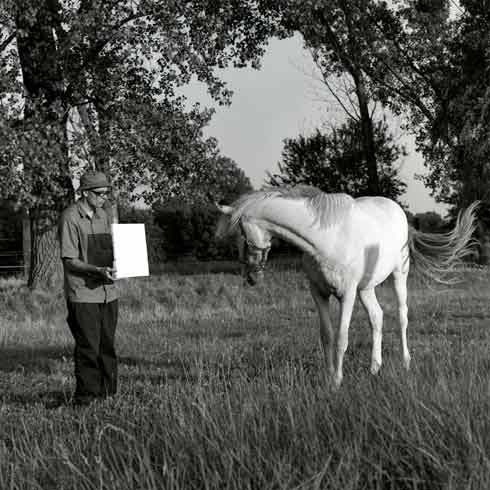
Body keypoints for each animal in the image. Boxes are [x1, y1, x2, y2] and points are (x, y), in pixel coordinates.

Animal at [215, 185, 478, 386]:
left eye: (239, 233)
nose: (251, 277)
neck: (324, 240)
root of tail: (400, 213)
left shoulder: (347, 294)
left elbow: (342, 337)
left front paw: (337, 380)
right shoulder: (318, 293)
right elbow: (327, 335)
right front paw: (329, 376)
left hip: (398, 275)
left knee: (401, 316)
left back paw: (405, 362)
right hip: (366, 288)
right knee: (377, 317)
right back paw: (375, 367)